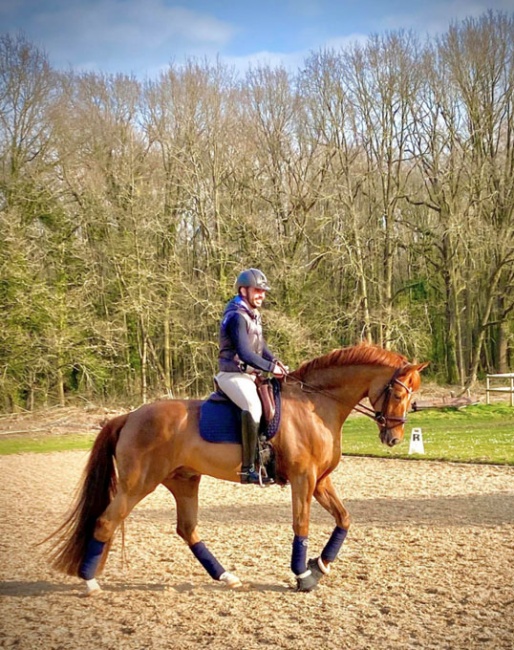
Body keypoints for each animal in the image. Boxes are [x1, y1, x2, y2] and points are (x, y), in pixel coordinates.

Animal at [46, 344, 426, 592]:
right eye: (397, 393)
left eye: (411, 398)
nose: (393, 437)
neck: (315, 405)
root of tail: (129, 416)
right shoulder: (303, 479)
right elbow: (300, 524)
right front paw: (303, 575)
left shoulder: (320, 481)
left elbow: (344, 519)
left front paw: (320, 565)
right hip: (137, 485)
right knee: (106, 522)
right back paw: (90, 582)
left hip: (184, 481)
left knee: (187, 530)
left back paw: (225, 576)